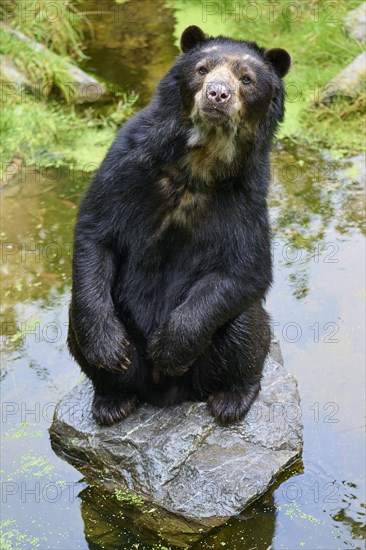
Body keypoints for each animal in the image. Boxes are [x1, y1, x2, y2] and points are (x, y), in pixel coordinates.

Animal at [68, 25, 292, 430]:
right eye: (202, 69)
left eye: (246, 79)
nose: (217, 93)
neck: (199, 162)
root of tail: (165, 393)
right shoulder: (126, 165)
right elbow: (96, 234)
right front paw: (109, 349)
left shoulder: (248, 195)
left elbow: (247, 268)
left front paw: (168, 349)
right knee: (76, 318)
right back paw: (113, 400)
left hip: (212, 363)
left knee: (245, 325)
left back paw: (231, 399)